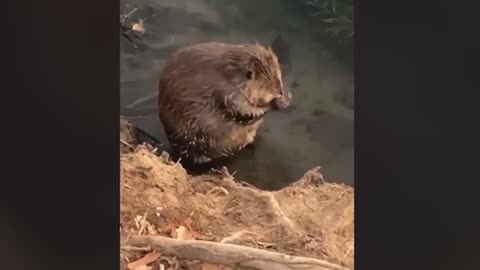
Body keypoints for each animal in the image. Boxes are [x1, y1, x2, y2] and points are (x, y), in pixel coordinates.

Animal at [158, 42, 292, 165]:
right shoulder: (226, 91)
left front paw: (287, 97)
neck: (231, 73)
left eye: (278, 78)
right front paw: (277, 103)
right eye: (270, 85)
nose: (280, 91)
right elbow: (241, 112)